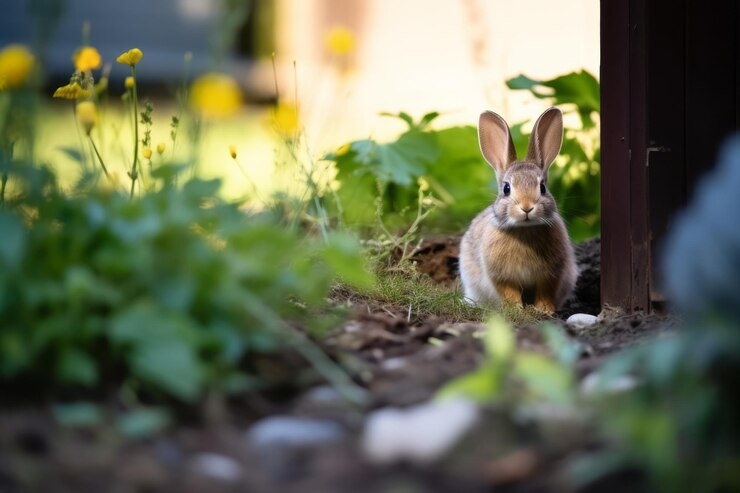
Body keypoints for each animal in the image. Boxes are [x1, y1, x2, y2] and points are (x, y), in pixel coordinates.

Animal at [456, 107, 580, 312]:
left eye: (542, 188)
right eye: (506, 188)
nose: (527, 207)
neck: (525, 230)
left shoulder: (552, 274)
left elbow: (545, 291)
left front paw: (544, 309)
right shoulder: (501, 276)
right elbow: (509, 291)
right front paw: (514, 309)